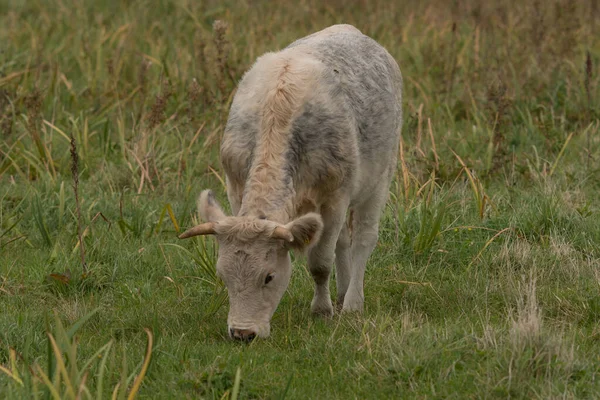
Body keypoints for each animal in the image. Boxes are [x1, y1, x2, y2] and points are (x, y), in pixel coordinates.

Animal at [179, 24, 404, 340]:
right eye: (223, 275)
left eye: (269, 276)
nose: (242, 333)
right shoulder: (235, 186)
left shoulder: (335, 197)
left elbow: (320, 262)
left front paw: (321, 310)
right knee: (343, 241)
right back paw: (342, 292)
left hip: (380, 178)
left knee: (363, 237)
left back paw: (352, 303)